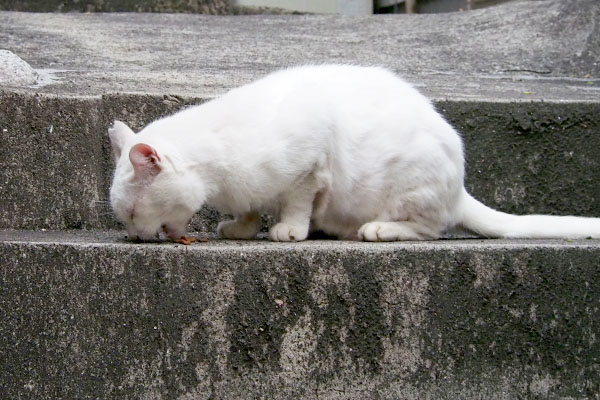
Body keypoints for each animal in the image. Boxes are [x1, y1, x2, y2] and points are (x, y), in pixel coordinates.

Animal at [106, 64, 600, 242]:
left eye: (130, 213)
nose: (132, 237)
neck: (218, 177)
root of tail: (459, 188)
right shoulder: (247, 192)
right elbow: (250, 209)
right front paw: (241, 229)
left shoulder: (309, 164)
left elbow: (296, 201)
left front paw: (289, 230)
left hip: (413, 187)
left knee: (430, 229)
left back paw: (377, 230)